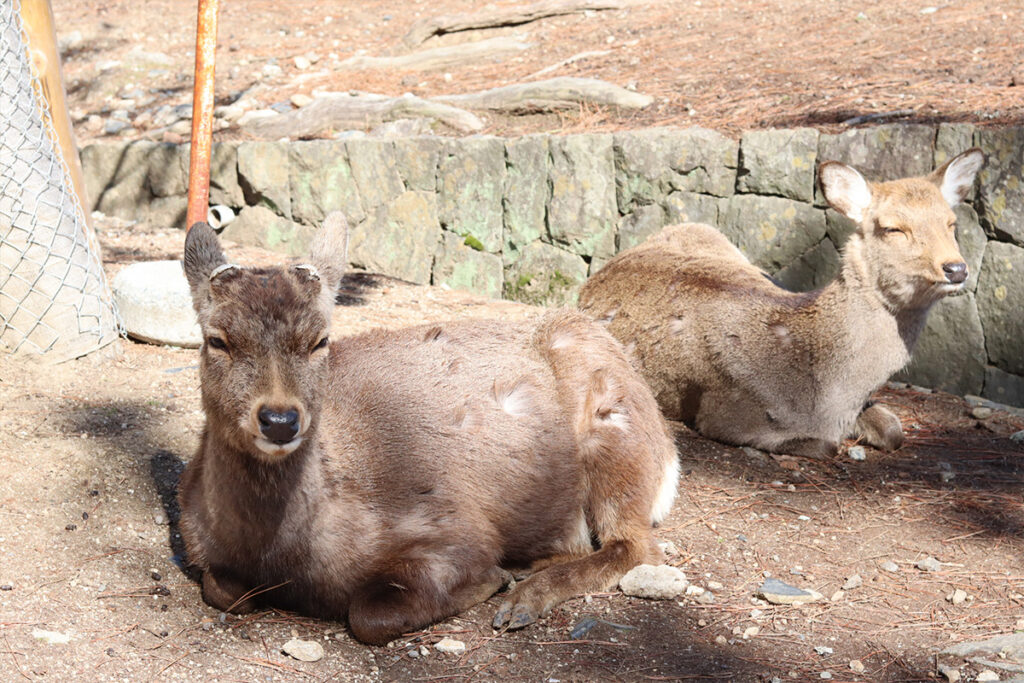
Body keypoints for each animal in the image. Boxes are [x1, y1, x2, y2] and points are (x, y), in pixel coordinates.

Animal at [177, 214, 679, 647]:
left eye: (320, 340)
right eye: (216, 339)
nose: (280, 420)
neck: (286, 559)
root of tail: (667, 451)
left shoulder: (452, 527)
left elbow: (370, 614)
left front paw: (493, 580)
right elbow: (222, 589)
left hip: (615, 434)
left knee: (635, 544)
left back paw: (523, 595)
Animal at [577, 150, 983, 458]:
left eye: (951, 223)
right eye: (893, 228)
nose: (956, 269)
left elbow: (895, 431)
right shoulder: (724, 410)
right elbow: (825, 446)